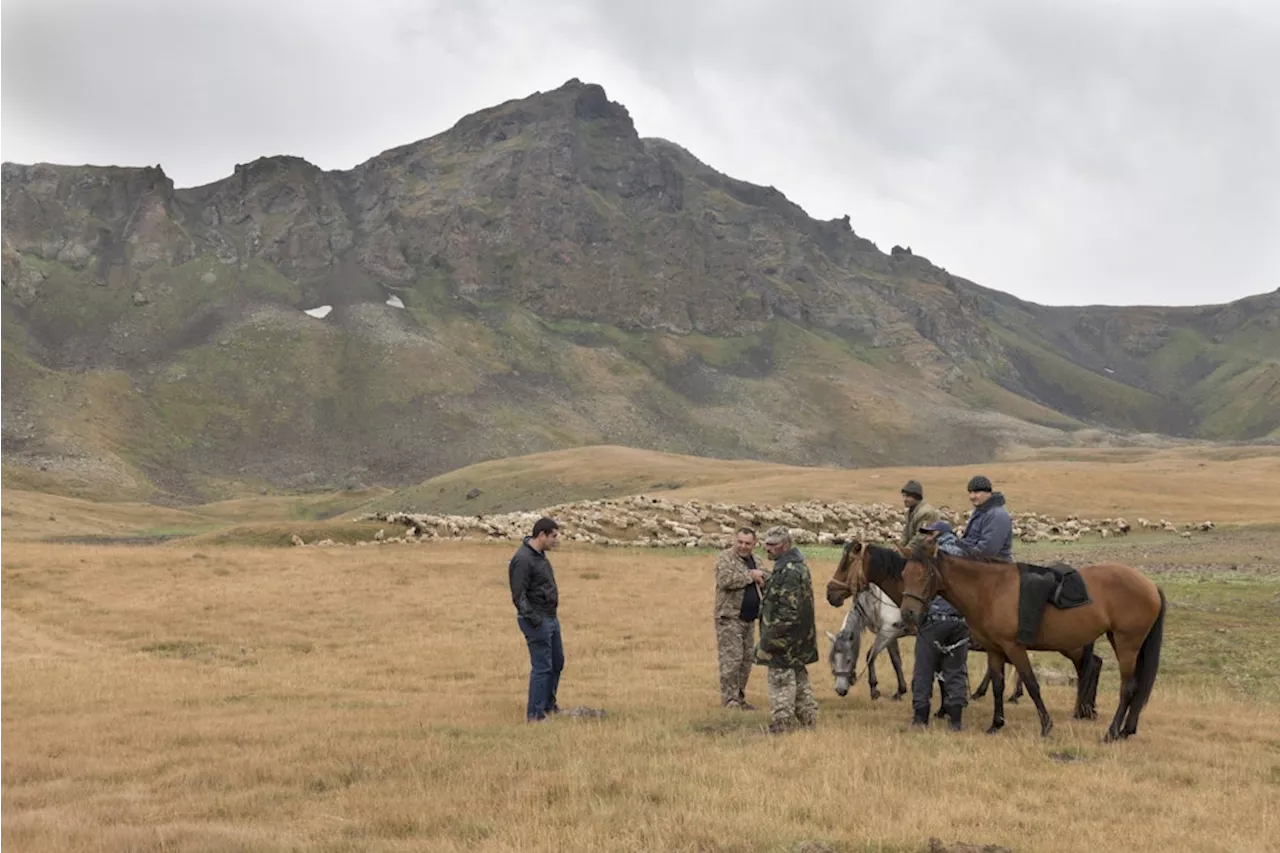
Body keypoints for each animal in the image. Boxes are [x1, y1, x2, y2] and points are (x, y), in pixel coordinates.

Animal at [829, 537, 1100, 717]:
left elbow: (871, 655)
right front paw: (901, 691)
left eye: (845, 564)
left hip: (1068, 643)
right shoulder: (898, 633)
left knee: (1090, 664)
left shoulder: (896, 631)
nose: (829, 593)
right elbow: (896, 659)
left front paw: (875, 689)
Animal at [896, 545, 1167, 737]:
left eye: (925, 576)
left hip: (1126, 644)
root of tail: (1150, 585)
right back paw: (1121, 728)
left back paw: (1111, 732)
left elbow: (1031, 684)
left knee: (1127, 687)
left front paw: (1046, 726)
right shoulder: (994, 650)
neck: (990, 590)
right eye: (904, 574)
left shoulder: (1014, 648)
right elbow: (997, 686)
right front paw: (996, 724)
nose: (908, 614)